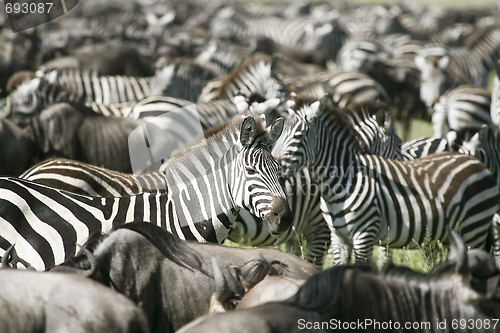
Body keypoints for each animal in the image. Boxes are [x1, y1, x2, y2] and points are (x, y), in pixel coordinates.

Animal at [274, 94, 500, 264]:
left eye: (299, 135)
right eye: (280, 132)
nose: (274, 164)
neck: (340, 183)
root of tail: (475, 161)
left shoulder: (363, 236)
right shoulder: (339, 238)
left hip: (473, 228)